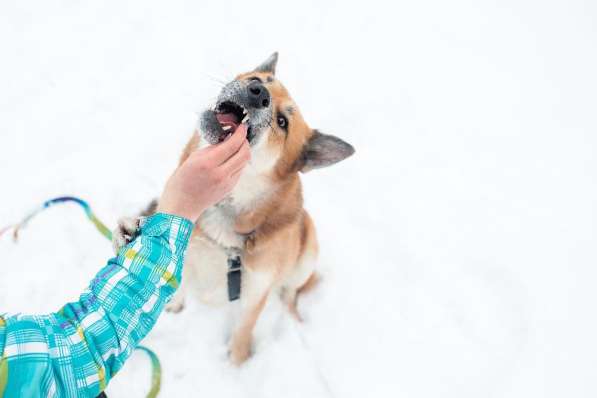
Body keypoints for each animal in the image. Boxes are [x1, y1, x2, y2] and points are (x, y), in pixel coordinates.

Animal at [113, 53, 354, 366]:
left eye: (283, 122)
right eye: (259, 79)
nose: (257, 92)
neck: (226, 207)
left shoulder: (256, 292)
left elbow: (243, 331)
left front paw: (237, 363)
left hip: (308, 247)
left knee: (290, 293)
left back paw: (293, 317)